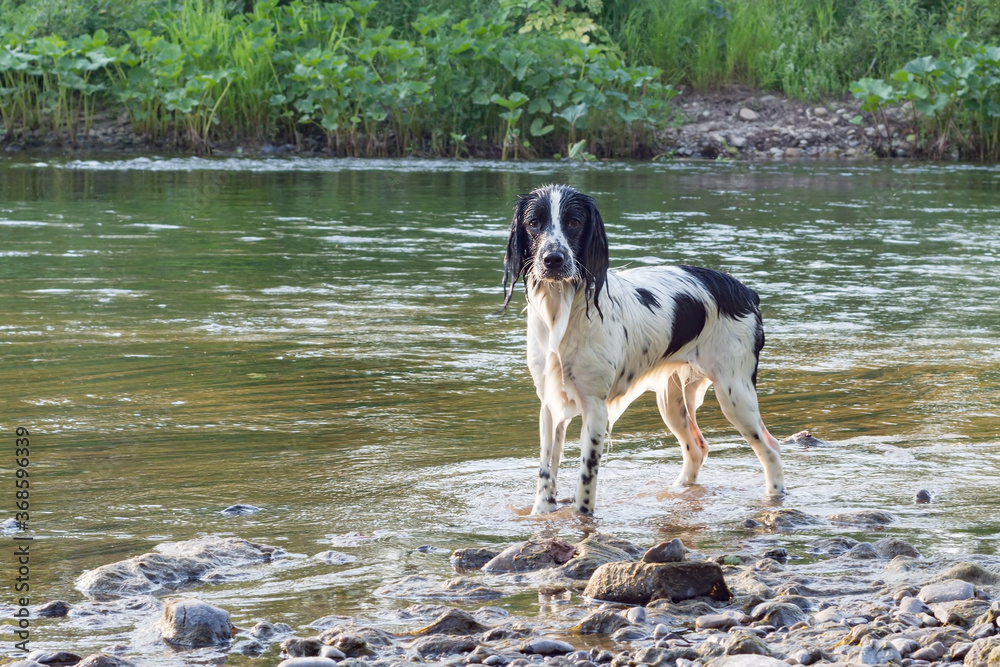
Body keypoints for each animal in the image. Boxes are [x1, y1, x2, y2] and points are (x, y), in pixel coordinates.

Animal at [504, 185, 784, 516]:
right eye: (534, 223)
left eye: (574, 222)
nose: (553, 259)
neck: (562, 311)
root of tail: (745, 290)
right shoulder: (548, 405)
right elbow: (546, 473)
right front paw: (541, 514)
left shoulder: (595, 408)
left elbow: (586, 479)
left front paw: (583, 518)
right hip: (672, 400)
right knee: (697, 448)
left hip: (734, 394)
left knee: (771, 449)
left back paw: (776, 497)